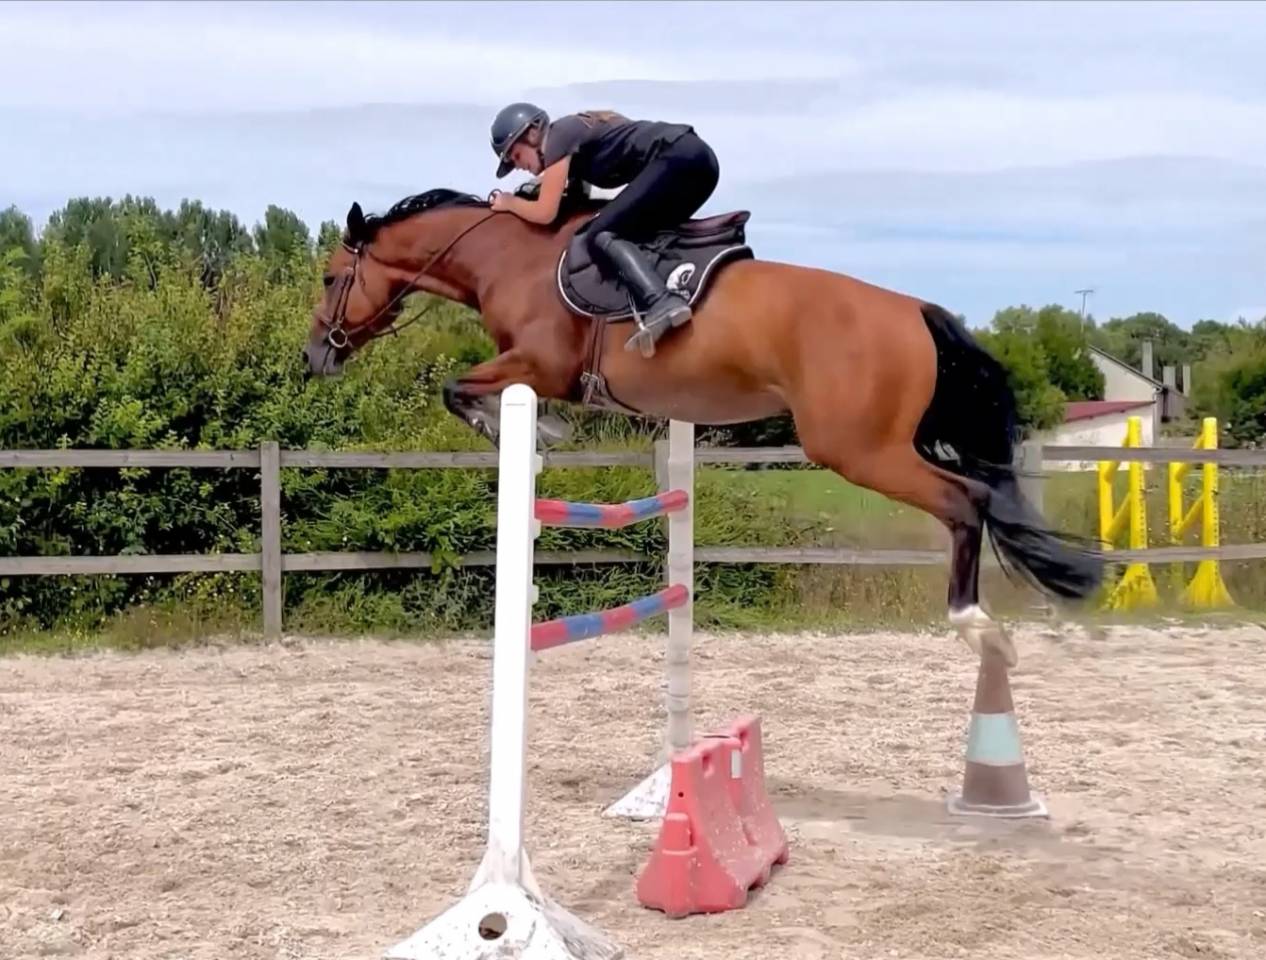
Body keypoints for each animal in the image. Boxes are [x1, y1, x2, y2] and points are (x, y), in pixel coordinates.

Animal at [302, 186, 1103, 665]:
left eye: (331, 277)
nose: (315, 356)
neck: (512, 256)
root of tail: (916, 311)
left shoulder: (539, 365)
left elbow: (458, 389)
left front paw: (533, 436)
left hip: (858, 448)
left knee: (967, 500)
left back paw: (974, 622)